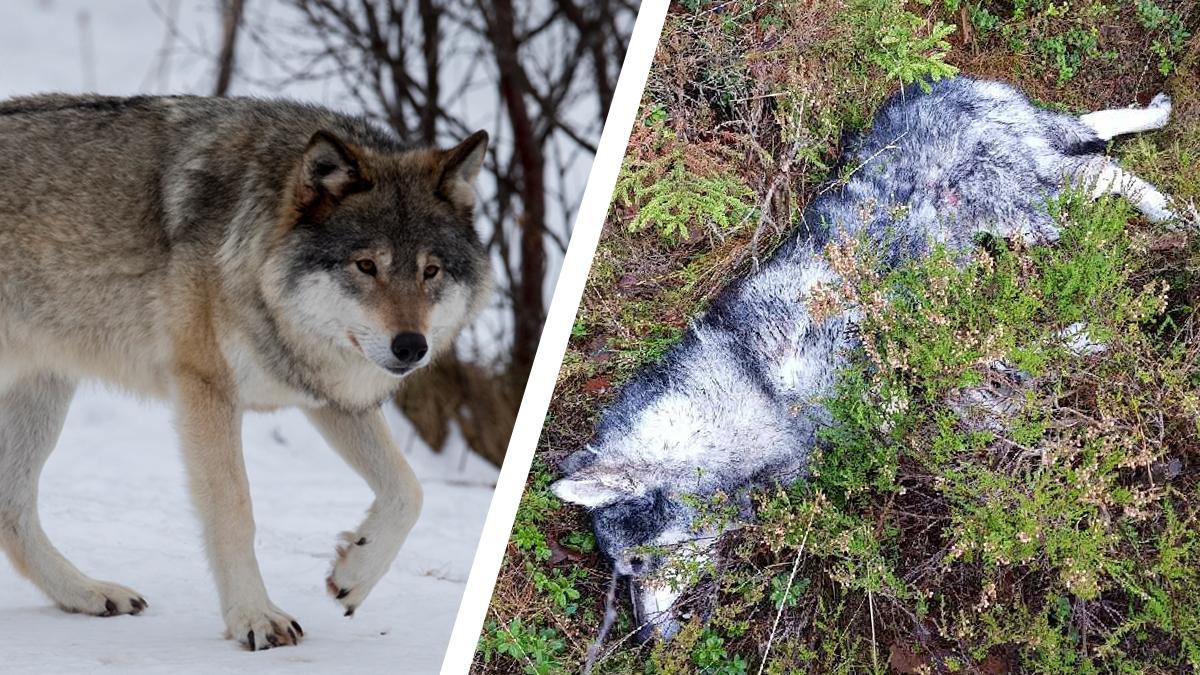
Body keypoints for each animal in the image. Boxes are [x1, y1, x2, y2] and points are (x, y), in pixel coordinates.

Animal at [0, 93, 492, 648]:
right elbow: (234, 511)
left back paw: (86, 593)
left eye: (431, 271)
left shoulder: (330, 397)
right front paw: (254, 617)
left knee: (11, 509)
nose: (411, 347)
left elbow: (410, 490)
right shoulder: (206, 389)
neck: (254, 259)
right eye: (366, 266)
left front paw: (354, 573)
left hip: (45, 392)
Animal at [554, 76, 1180, 638]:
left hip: (1030, 202)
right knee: (1094, 142)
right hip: (1027, 203)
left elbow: (979, 361)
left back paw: (1172, 213)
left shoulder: (875, 332)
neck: (752, 388)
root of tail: (937, 86)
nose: (647, 638)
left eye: (636, 565)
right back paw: (1156, 137)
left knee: (1102, 168)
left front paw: (1077, 339)